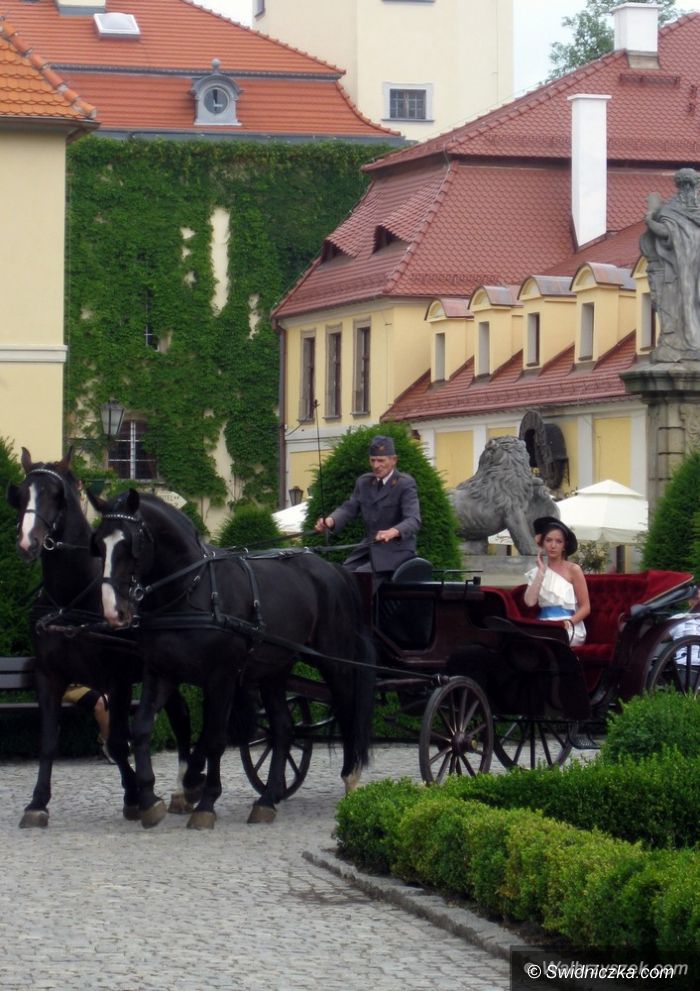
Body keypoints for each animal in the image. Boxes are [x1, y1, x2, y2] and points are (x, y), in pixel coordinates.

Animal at [6, 448, 203, 827]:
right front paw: (37, 802)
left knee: (185, 717)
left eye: (56, 495)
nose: (27, 542)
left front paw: (137, 796)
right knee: (180, 712)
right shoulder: (49, 676)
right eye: (21, 494)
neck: (71, 599)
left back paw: (186, 786)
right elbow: (48, 740)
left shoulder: (116, 679)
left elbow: (116, 740)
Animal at [87, 487, 377, 829]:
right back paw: (267, 800)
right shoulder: (161, 672)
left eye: (130, 543)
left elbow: (215, 737)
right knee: (283, 728)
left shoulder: (222, 677)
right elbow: (143, 726)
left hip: (335, 661)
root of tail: (332, 568)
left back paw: (351, 777)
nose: (113, 611)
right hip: (275, 669)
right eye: (98, 544)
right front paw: (149, 799)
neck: (191, 590)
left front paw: (205, 801)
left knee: (347, 709)